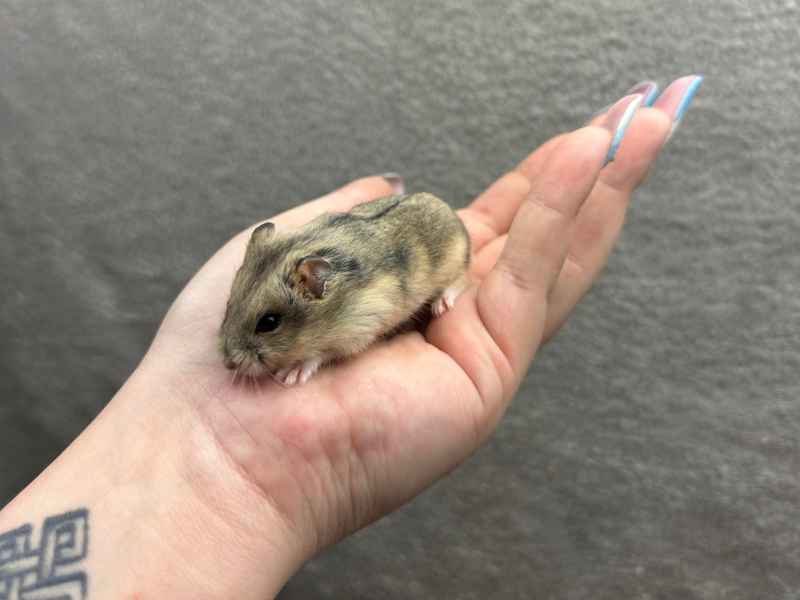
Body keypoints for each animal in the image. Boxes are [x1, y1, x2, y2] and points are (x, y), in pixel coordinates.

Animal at [217, 192, 471, 386]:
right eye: (229, 305)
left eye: (269, 323)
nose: (227, 364)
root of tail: (448, 209)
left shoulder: (358, 329)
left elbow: (319, 354)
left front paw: (290, 375)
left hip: (456, 261)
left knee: (459, 280)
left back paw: (441, 306)